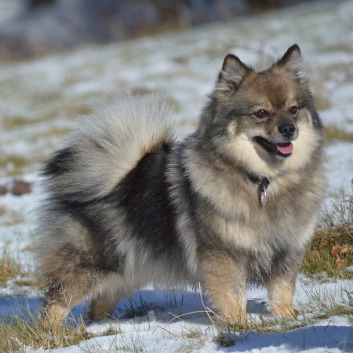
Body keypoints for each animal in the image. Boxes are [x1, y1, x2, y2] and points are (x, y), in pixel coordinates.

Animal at [35, 44, 324, 324]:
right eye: (261, 113)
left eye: (294, 109)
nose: (288, 129)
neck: (263, 181)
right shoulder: (223, 254)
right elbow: (233, 296)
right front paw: (241, 325)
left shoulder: (288, 251)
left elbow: (282, 290)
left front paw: (286, 319)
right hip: (89, 267)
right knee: (55, 303)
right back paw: (55, 332)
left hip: (128, 269)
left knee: (98, 303)